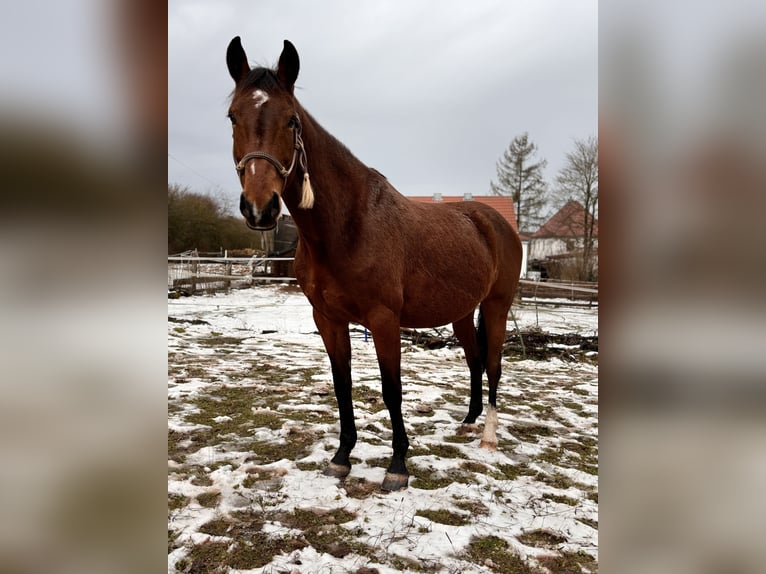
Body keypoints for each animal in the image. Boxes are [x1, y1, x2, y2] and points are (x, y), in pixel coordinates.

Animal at [225, 38, 524, 492]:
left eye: (292, 120)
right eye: (232, 116)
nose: (260, 208)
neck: (350, 225)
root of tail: (494, 222)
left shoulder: (383, 319)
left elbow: (391, 389)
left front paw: (397, 465)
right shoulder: (327, 319)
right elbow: (342, 386)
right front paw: (341, 457)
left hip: (496, 306)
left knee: (493, 365)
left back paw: (487, 435)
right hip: (461, 312)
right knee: (474, 361)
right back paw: (468, 421)